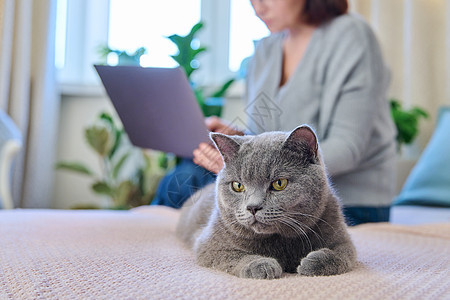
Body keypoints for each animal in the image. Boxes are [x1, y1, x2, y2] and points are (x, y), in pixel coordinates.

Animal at [176, 125, 356, 278]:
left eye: (279, 183)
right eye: (238, 186)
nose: (253, 207)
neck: (280, 242)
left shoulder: (342, 238)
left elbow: (343, 254)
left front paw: (314, 262)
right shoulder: (209, 245)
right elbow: (234, 256)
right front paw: (260, 265)